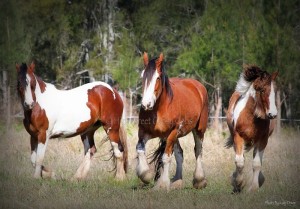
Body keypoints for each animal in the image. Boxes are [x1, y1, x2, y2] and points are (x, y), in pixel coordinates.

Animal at [136, 52, 209, 189]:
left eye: (158, 78)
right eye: (142, 76)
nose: (146, 104)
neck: (159, 109)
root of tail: (198, 86)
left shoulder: (173, 132)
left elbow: (166, 157)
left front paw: (162, 184)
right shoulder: (144, 132)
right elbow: (140, 149)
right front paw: (146, 175)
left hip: (198, 130)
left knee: (198, 150)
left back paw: (199, 180)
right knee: (180, 153)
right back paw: (177, 181)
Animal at [226, 65, 278, 193]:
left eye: (275, 90)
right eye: (262, 90)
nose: (273, 114)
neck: (251, 117)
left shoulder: (263, 140)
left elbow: (256, 164)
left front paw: (254, 187)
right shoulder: (238, 137)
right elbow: (239, 162)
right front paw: (238, 183)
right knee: (240, 158)